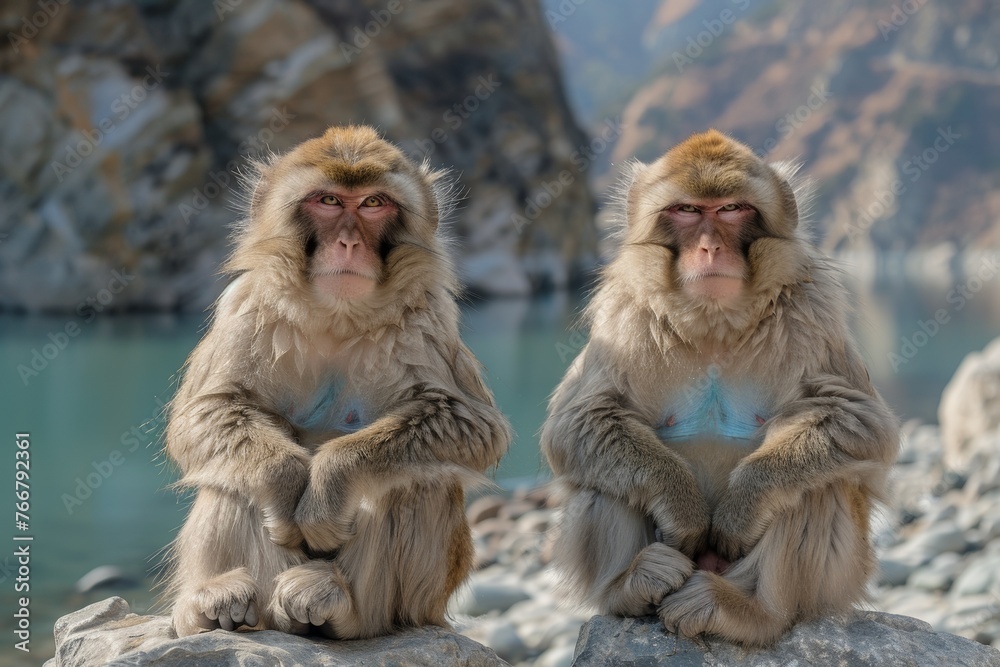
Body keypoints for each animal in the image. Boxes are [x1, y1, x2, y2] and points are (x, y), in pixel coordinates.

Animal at [163, 125, 511, 639]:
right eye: (328, 200)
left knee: (419, 479)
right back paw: (216, 604)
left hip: (419, 603)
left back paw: (339, 607)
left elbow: (471, 423)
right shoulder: (244, 305)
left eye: (372, 203)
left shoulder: (429, 315)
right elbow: (210, 411)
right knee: (232, 475)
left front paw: (331, 481)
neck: (337, 316)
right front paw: (285, 481)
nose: (348, 243)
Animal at [541, 129, 899, 647]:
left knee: (818, 483)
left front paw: (742, 506)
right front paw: (682, 508)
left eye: (731, 209)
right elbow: (577, 423)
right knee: (601, 476)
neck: (714, 323)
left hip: (840, 577)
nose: (709, 248)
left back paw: (751, 612)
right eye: (688, 211)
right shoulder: (623, 317)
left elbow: (861, 422)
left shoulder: (812, 310)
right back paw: (627, 587)